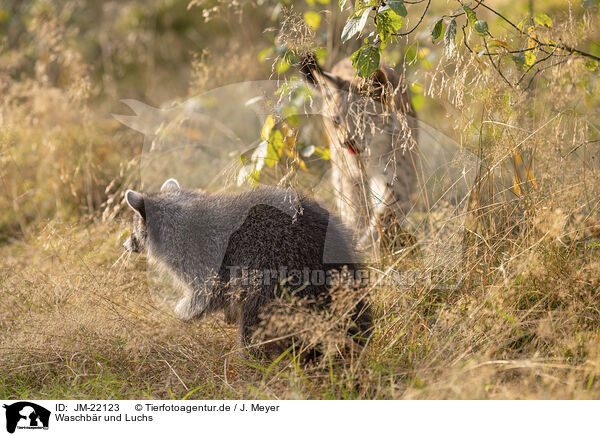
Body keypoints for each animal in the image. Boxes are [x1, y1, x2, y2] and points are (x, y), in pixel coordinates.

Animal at [123, 179, 370, 356]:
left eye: (134, 229)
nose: (125, 245)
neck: (179, 214)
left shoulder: (203, 259)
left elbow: (207, 296)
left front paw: (184, 312)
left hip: (278, 274)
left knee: (255, 317)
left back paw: (251, 356)